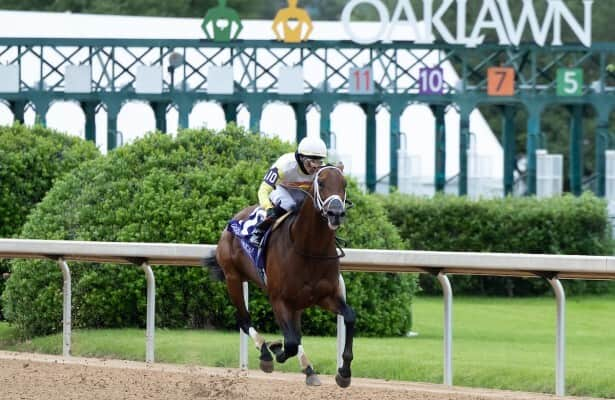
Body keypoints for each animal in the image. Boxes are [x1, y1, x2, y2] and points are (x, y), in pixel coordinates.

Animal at [207, 166, 354, 388]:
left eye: (344, 184)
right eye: (321, 183)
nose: (336, 213)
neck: (310, 249)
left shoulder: (325, 296)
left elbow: (350, 317)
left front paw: (344, 372)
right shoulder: (278, 299)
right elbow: (291, 342)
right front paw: (276, 349)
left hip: (296, 302)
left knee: (294, 331)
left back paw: (308, 369)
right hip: (233, 278)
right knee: (244, 320)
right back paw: (266, 353)